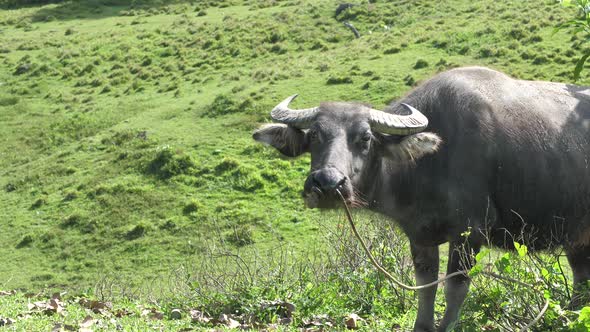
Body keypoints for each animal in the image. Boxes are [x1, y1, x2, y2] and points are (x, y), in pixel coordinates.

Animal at [253, 66, 590, 330]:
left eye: (365, 138)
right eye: (313, 136)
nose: (327, 184)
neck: (428, 164)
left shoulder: (470, 232)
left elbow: (454, 288)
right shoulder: (420, 235)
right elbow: (425, 287)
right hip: (578, 239)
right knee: (581, 280)